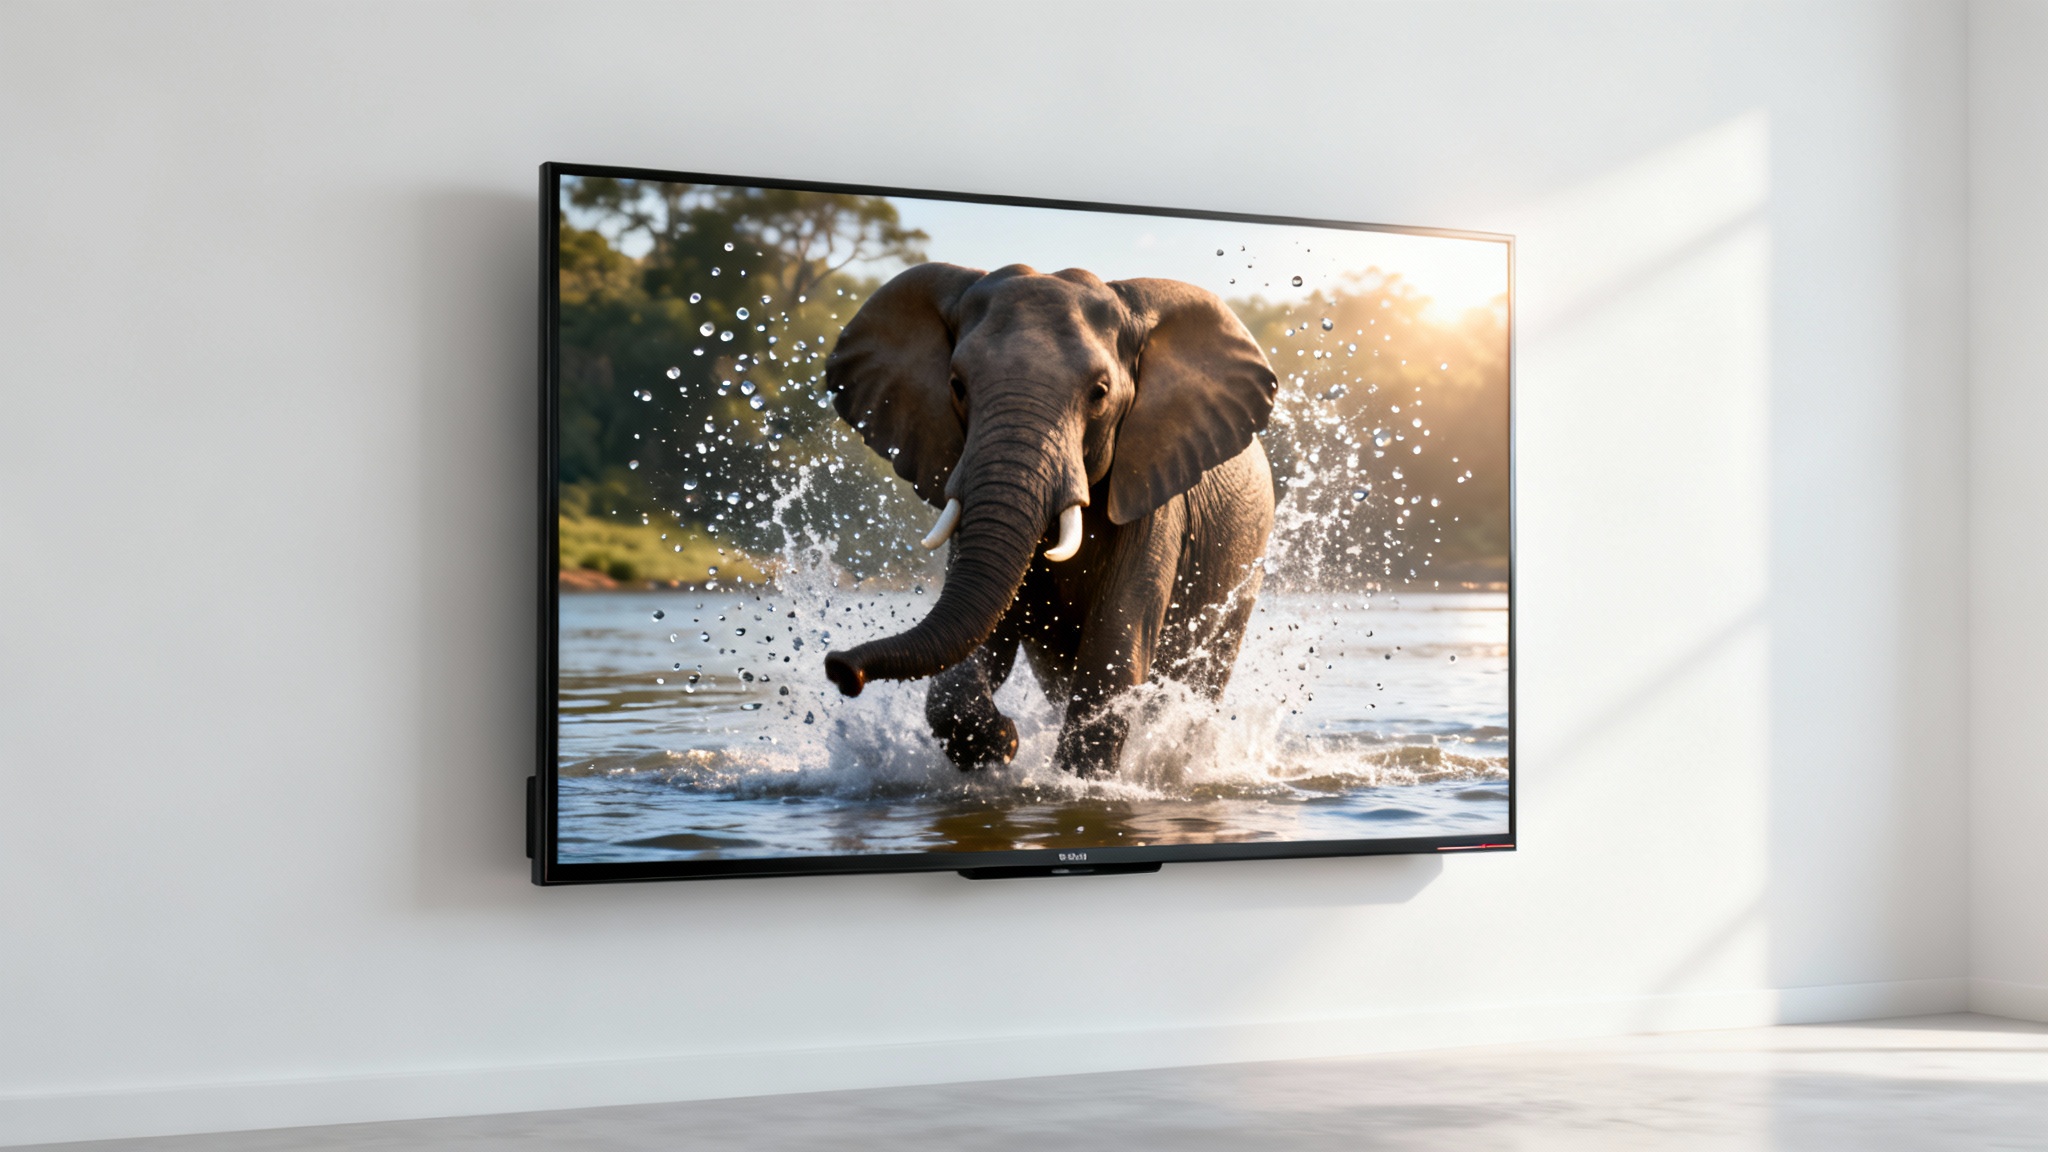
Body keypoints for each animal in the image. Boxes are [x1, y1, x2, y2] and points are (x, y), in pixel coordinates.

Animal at [820, 262, 1278, 776]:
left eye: (1100, 393)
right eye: (957, 386)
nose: (839, 668)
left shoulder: (1156, 500)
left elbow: (1114, 649)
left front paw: (1073, 780)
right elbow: (983, 643)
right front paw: (1004, 744)